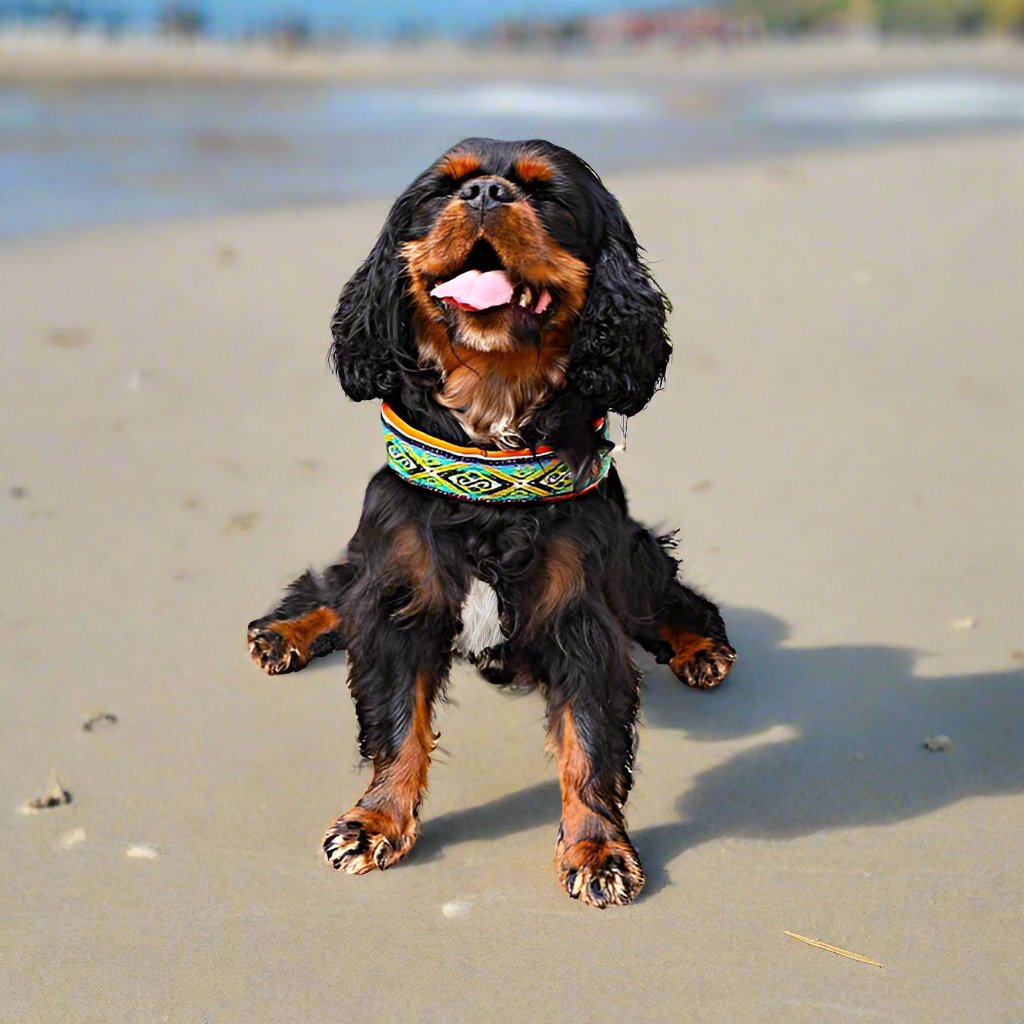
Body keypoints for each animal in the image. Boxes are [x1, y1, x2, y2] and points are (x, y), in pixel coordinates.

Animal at [251, 138, 741, 913]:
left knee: (670, 592)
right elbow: (397, 725)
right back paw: (285, 632)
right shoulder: (398, 594)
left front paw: (597, 849)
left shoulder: (581, 615)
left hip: (630, 560)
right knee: (337, 584)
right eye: (440, 189)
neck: (491, 425)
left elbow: (589, 744)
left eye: (548, 195)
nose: (484, 192)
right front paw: (376, 821)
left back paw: (701, 647)